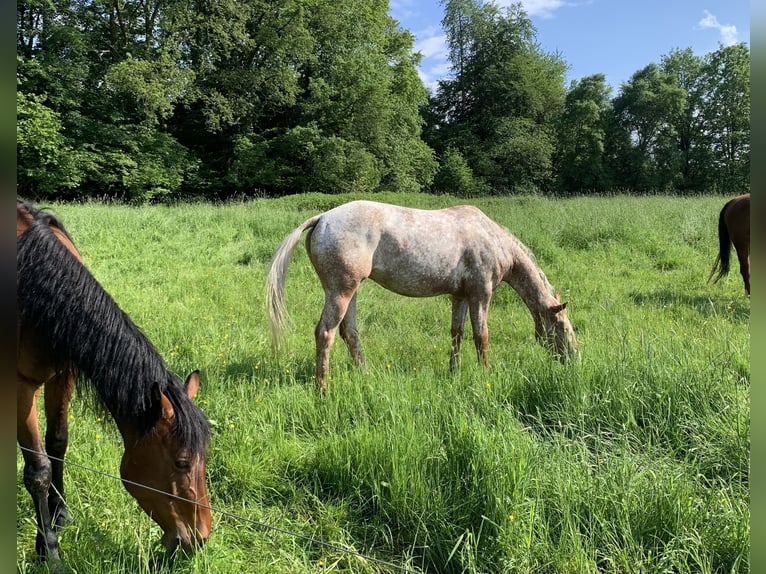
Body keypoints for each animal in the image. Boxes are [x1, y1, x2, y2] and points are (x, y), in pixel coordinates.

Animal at [16, 201, 213, 564]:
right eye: (182, 462)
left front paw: (59, 514)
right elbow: (38, 470)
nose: (200, 538)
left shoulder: (63, 374)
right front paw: (48, 548)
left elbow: (58, 444)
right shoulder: (21, 388)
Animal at [268, 200, 580, 394]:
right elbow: (481, 335)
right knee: (326, 333)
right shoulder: (481, 293)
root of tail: (322, 219)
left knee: (350, 332)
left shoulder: (460, 296)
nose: (575, 360)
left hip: (350, 291)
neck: (493, 239)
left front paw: (453, 372)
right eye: (563, 328)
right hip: (341, 291)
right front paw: (486, 373)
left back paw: (365, 373)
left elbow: (457, 333)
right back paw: (323, 389)